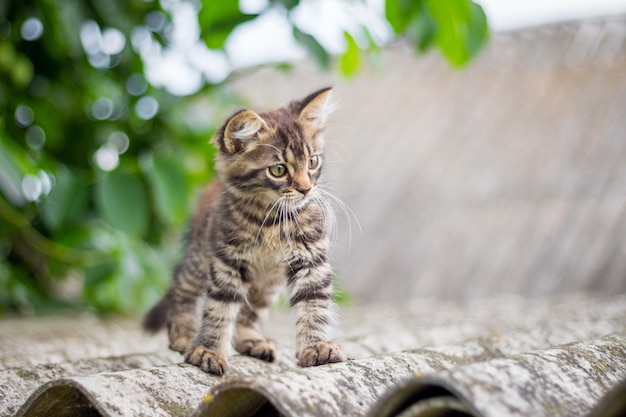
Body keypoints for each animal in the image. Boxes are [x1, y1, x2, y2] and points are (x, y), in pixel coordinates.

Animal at [143, 87, 346, 374]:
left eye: (312, 162)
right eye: (278, 169)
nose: (306, 189)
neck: (273, 218)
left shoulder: (310, 258)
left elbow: (314, 304)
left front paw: (316, 347)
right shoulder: (228, 259)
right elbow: (219, 307)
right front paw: (208, 351)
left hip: (267, 283)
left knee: (248, 312)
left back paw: (251, 340)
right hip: (199, 258)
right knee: (181, 287)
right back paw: (183, 334)